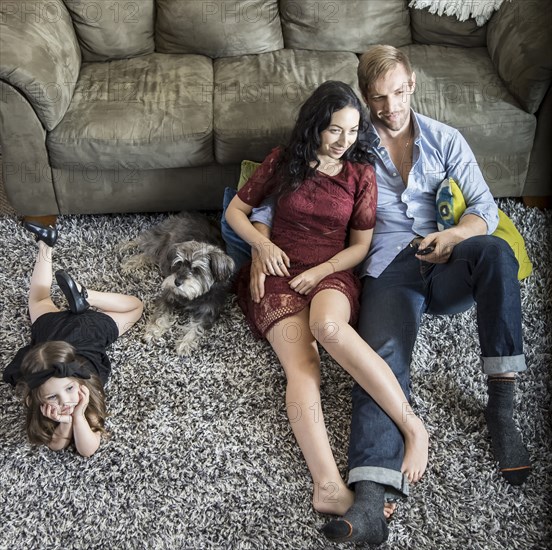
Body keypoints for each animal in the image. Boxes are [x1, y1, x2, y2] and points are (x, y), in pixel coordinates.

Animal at [122, 211, 234, 358]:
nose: (176, 282)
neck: (193, 296)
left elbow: (196, 328)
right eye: (179, 264)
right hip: (161, 239)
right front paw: (153, 332)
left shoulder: (208, 312)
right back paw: (128, 254)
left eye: (197, 270)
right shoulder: (168, 296)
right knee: (146, 246)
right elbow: (161, 316)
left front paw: (185, 344)